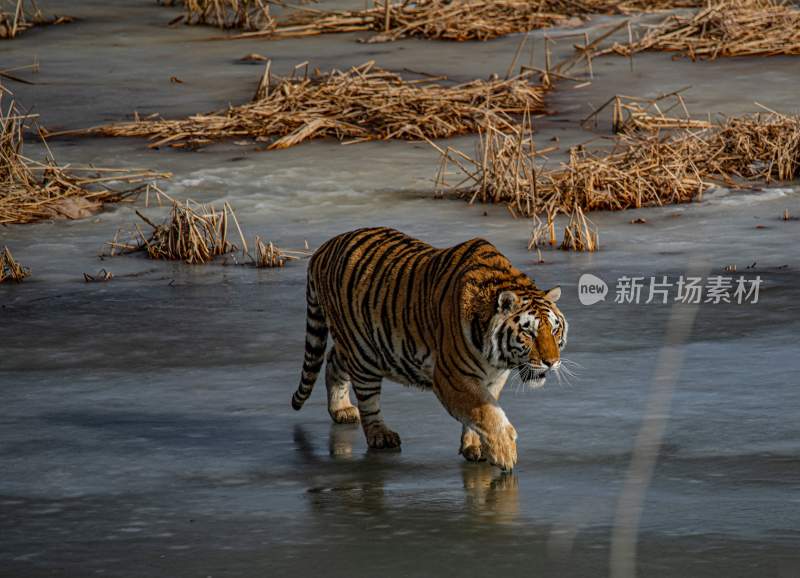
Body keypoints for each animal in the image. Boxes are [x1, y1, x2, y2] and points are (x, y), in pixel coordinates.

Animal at [290, 225, 564, 468]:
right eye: (528, 332)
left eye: (554, 330)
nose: (551, 362)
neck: (495, 357)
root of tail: (322, 249)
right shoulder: (450, 376)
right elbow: (485, 411)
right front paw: (504, 452)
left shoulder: (494, 377)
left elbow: (482, 409)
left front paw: (475, 447)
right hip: (362, 351)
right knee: (367, 400)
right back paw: (380, 435)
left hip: (356, 345)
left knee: (333, 360)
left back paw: (342, 410)